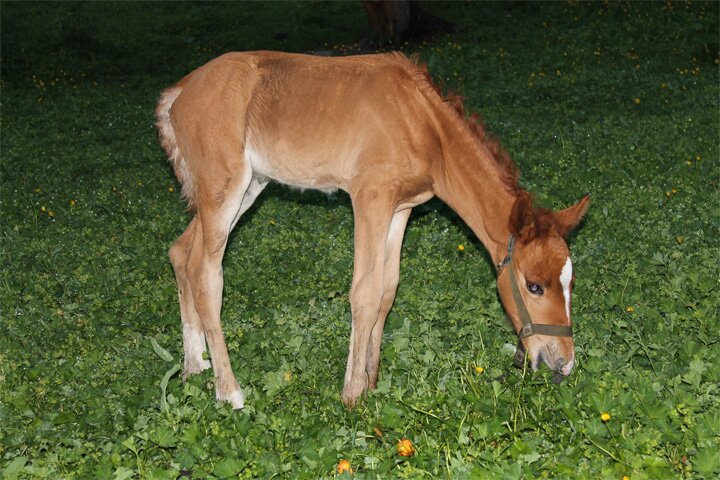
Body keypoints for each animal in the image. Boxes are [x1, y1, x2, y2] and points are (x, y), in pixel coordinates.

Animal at [155, 51, 588, 408]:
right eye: (534, 286)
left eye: (569, 282)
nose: (564, 364)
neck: (424, 124)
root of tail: (180, 91)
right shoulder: (369, 199)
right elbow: (364, 292)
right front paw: (351, 393)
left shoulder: (400, 209)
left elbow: (386, 290)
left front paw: (372, 380)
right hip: (223, 188)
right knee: (205, 272)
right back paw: (229, 392)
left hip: (247, 187)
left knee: (180, 253)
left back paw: (194, 365)